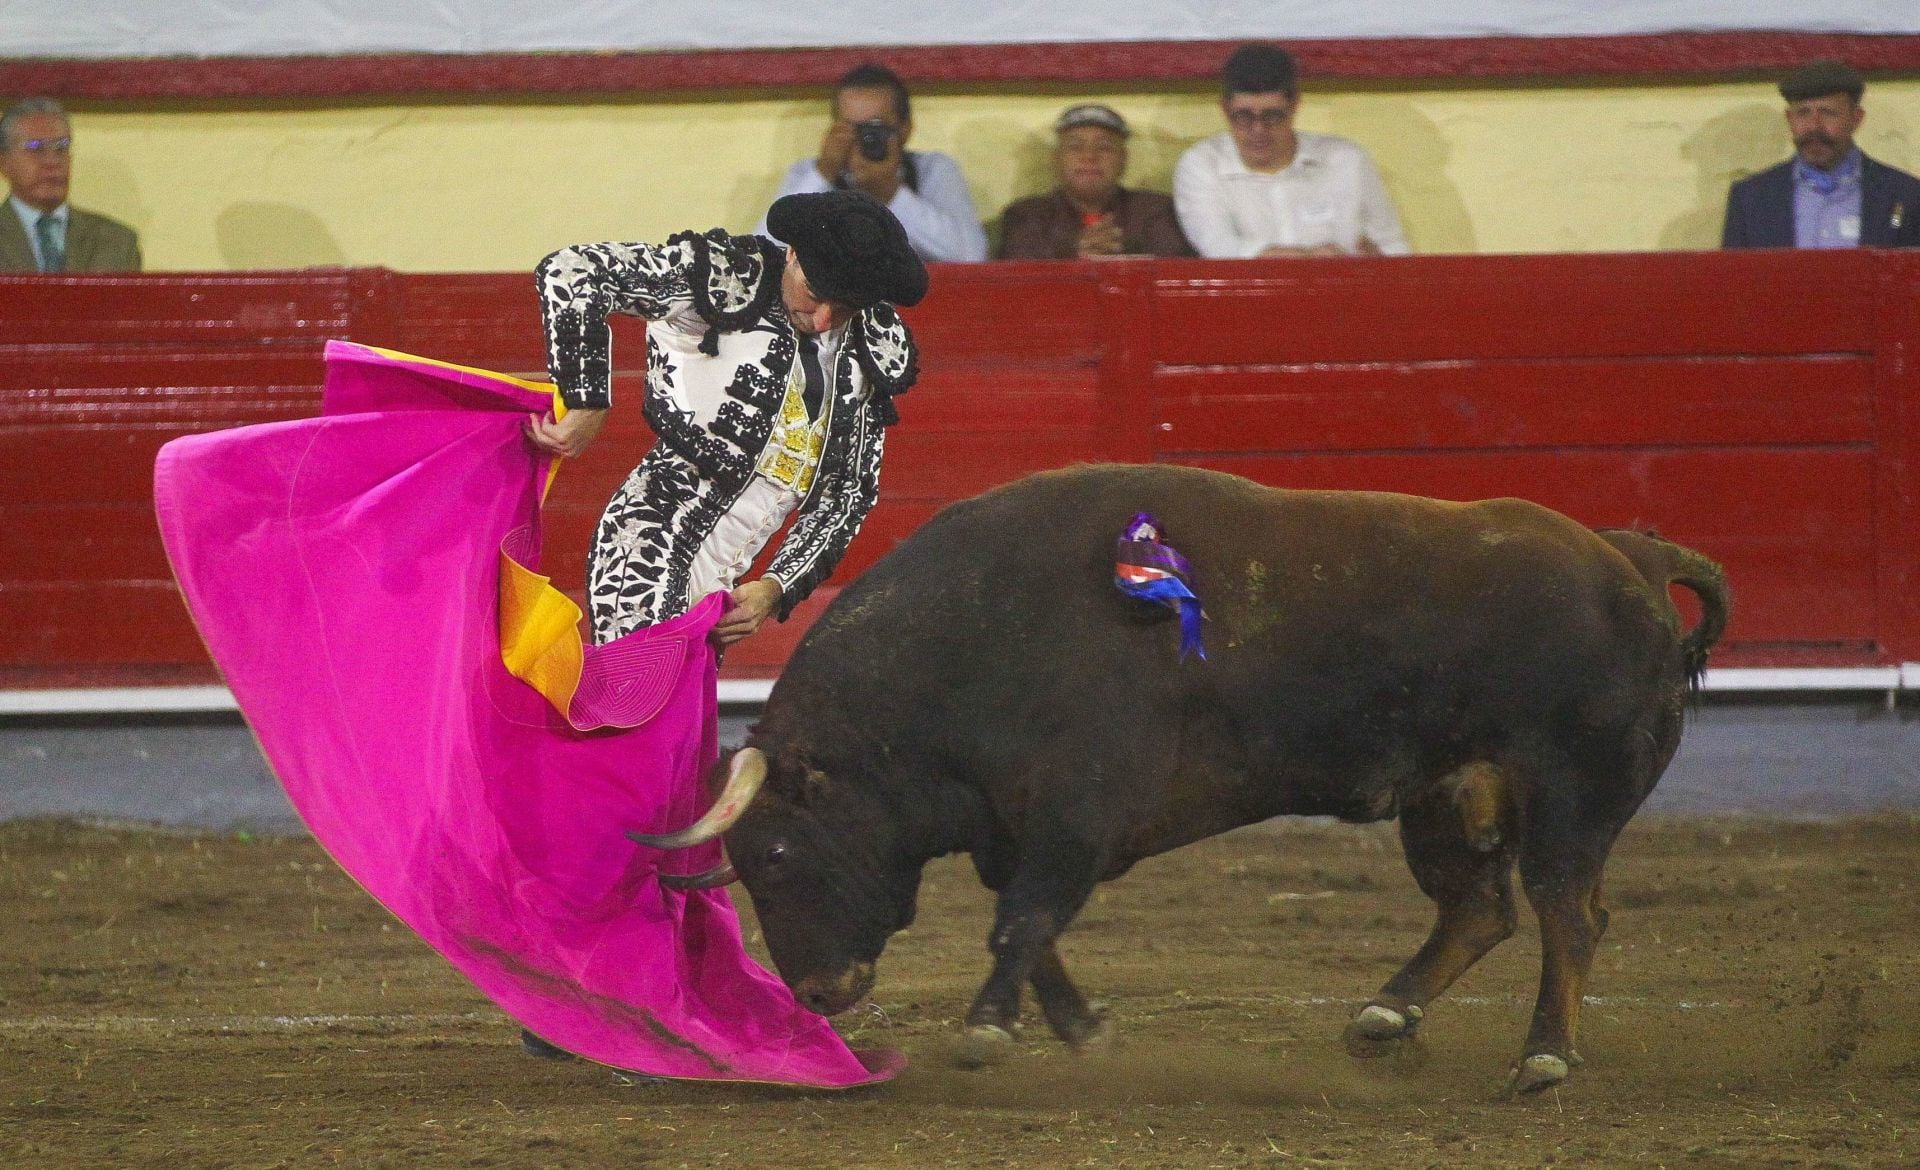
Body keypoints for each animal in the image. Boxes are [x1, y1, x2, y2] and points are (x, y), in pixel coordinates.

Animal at [629, 461, 1728, 1091]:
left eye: (777, 851)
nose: (819, 992)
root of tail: (1629, 557)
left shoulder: (1076, 814)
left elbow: (1023, 921)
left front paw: (986, 1033)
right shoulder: (1011, 828)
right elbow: (1034, 929)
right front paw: (1084, 1031)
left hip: (1574, 790)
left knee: (1566, 911)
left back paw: (1542, 1057)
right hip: (1445, 793)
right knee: (1480, 909)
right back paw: (1384, 1020)